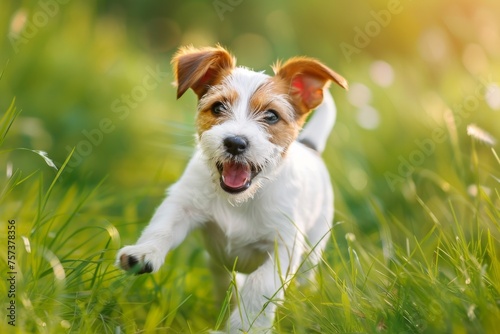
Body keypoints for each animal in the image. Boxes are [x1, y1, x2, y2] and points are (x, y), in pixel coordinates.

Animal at [116, 45, 348, 332]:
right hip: (216, 262)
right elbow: (162, 227)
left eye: (271, 116)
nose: (235, 143)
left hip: (313, 248)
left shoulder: (283, 246)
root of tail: (310, 146)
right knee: (224, 278)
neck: (242, 200)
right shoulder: (183, 204)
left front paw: (245, 326)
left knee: (304, 278)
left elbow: (260, 285)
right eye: (218, 107)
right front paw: (144, 252)